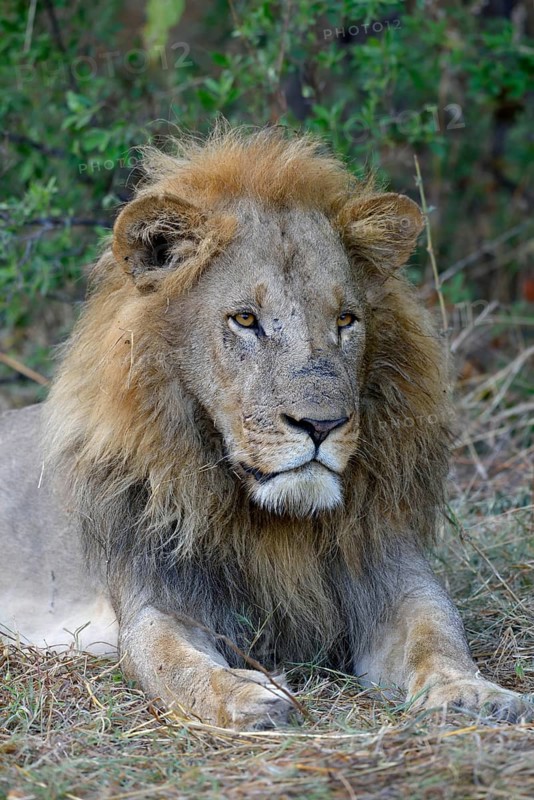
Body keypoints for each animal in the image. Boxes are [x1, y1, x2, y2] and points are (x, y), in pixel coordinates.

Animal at [0, 127, 531, 729]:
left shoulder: (392, 574)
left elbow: (437, 635)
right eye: (245, 320)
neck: (277, 524)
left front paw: (473, 692)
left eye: (345, 319)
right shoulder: (158, 599)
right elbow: (171, 661)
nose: (322, 424)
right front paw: (249, 697)